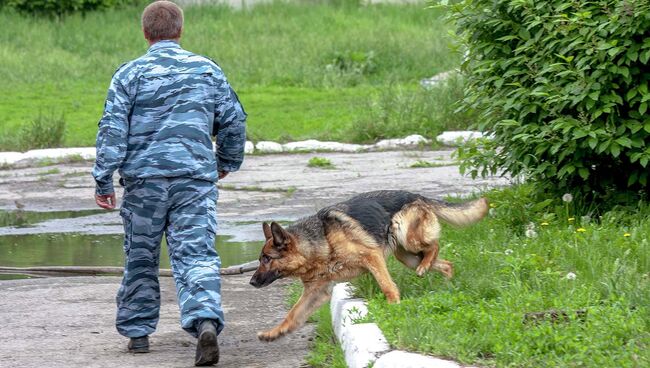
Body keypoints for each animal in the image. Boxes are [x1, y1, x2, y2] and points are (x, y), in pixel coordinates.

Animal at [248, 191, 486, 340]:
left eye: (267, 258)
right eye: (260, 259)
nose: (251, 281)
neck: (321, 243)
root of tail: (416, 196)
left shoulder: (372, 257)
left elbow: (387, 286)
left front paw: (393, 307)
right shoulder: (316, 292)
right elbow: (292, 315)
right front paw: (273, 333)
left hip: (405, 235)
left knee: (434, 245)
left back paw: (430, 270)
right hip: (406, 256)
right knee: (446, 264)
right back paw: (447, 285)